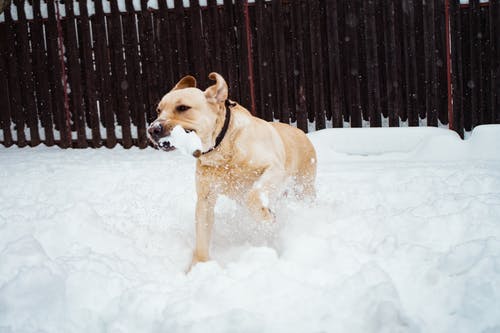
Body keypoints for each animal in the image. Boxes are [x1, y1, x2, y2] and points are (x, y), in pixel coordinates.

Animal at [146, 72, 316, 270]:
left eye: (182, 108)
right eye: (159, 110)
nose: (152, 129)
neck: (222, 148)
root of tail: (301, 132)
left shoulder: (274, 169)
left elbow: (254, 196)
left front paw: (266, 218)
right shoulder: (205, 199)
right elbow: (202, 234)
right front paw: (200, 268)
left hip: (304, 187)